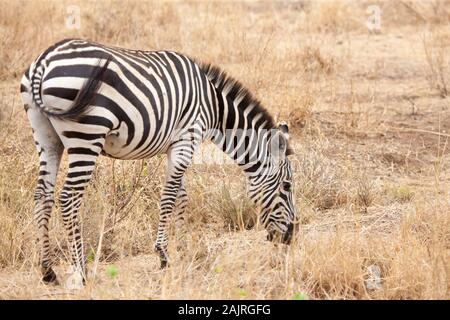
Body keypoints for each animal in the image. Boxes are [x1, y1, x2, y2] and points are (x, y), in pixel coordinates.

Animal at [20, 38, 298, 286]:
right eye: (287, 186)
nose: (290, 237)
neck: (214, 105)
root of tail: (43, 61)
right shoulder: (187, 139)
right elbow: (169, 197)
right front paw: (163, 255)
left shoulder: (177, 145)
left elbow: (181, 196)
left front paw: (186, 250)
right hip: (87, 135)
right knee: (69, 198)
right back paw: (82, 271)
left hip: (46, 136)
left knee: (42, 195)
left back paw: (47, 271)